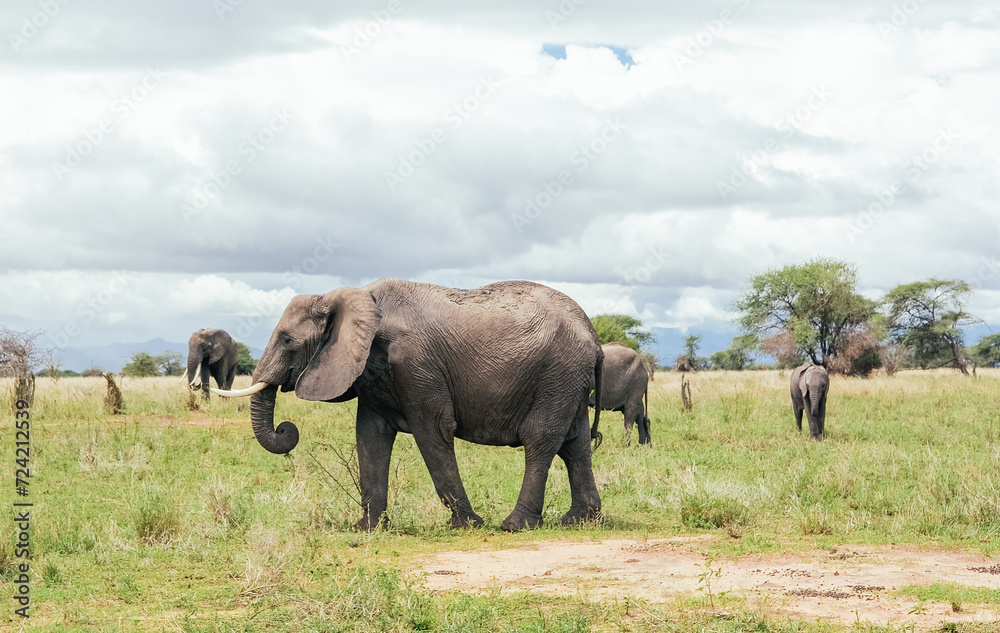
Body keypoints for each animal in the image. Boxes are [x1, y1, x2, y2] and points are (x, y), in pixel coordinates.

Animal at [214, 278, 605, 532]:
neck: (351, 296)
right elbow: (369, 438)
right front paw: (365, 529)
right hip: (569, 380)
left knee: (540, 440)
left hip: (558, 373)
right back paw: (580, 521)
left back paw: (514, 526)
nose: (286, 429)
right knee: (575, 444)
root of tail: (593, 335)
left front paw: (466, 526)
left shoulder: (416, 364)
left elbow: (433, 433)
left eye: (286, 339)